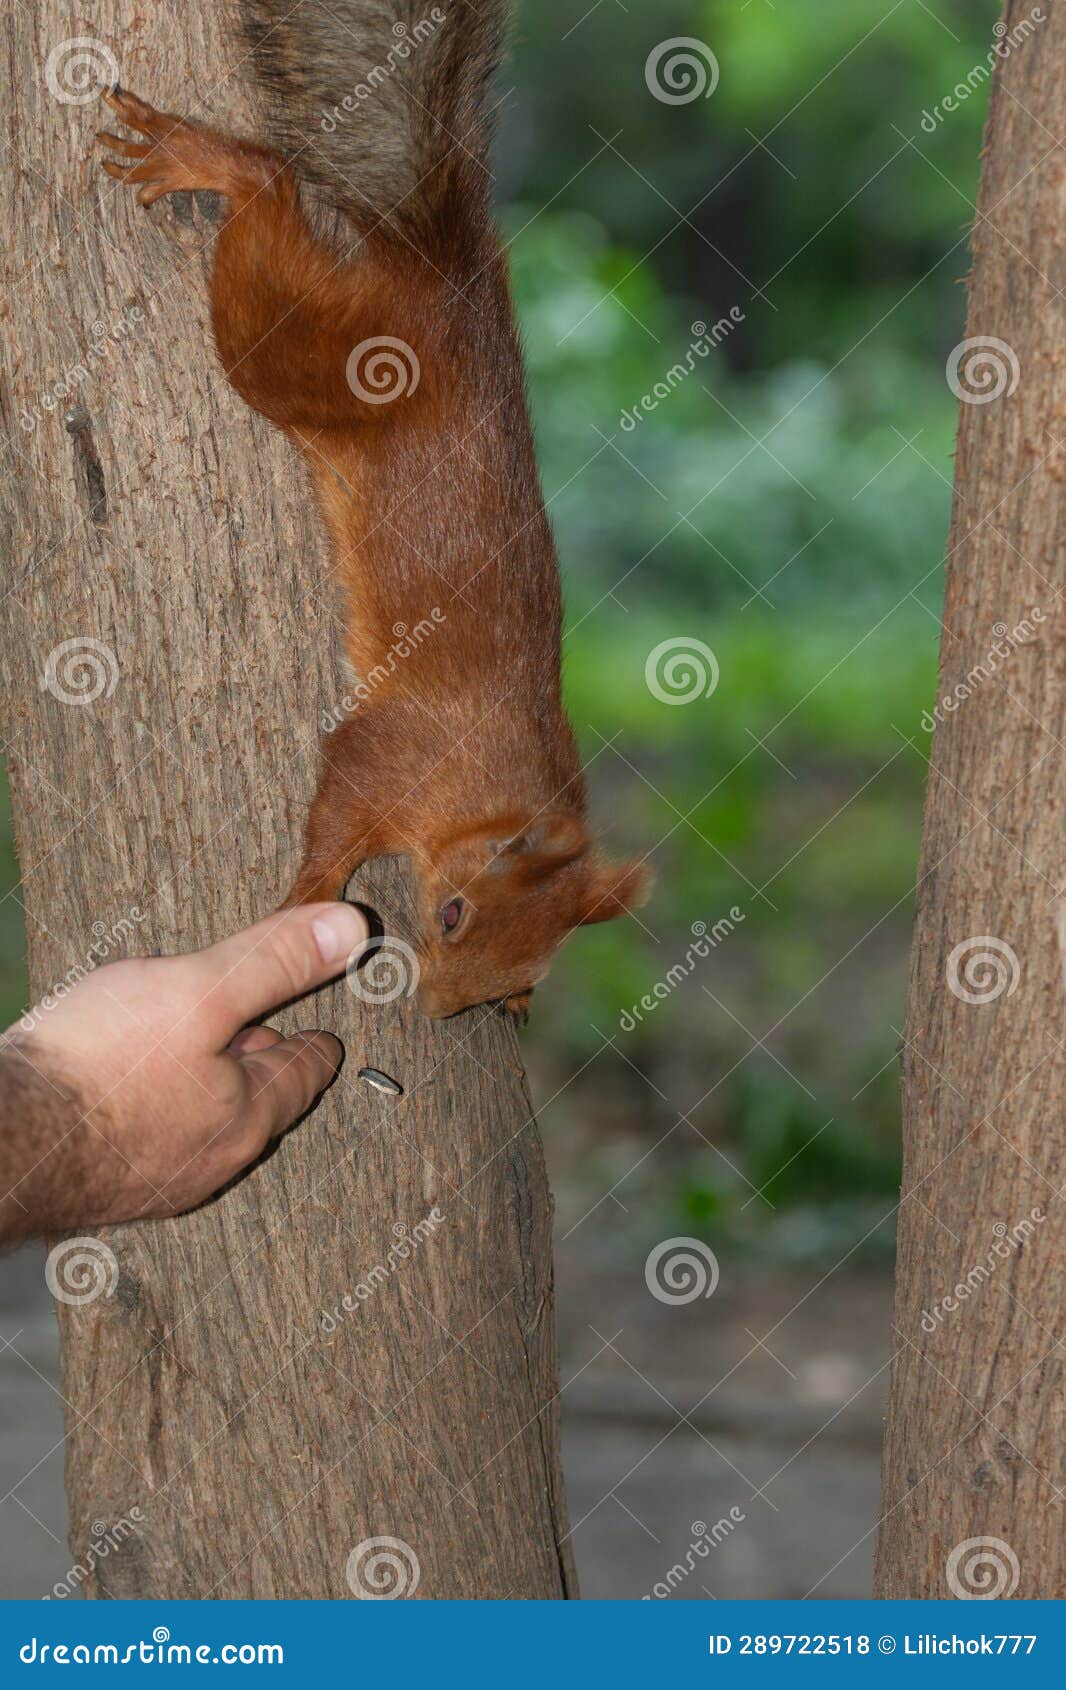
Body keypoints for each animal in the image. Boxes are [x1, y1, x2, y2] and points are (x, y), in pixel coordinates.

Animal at [97, 0, 652, 1014]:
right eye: (452, 914)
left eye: (517, 978)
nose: (438, 1008)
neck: (493, 793)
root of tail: (446, 276)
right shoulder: (390, 753)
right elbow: (337, 807)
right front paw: (306, 901)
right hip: (301, 348)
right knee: (269, 195)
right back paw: (207, 160)